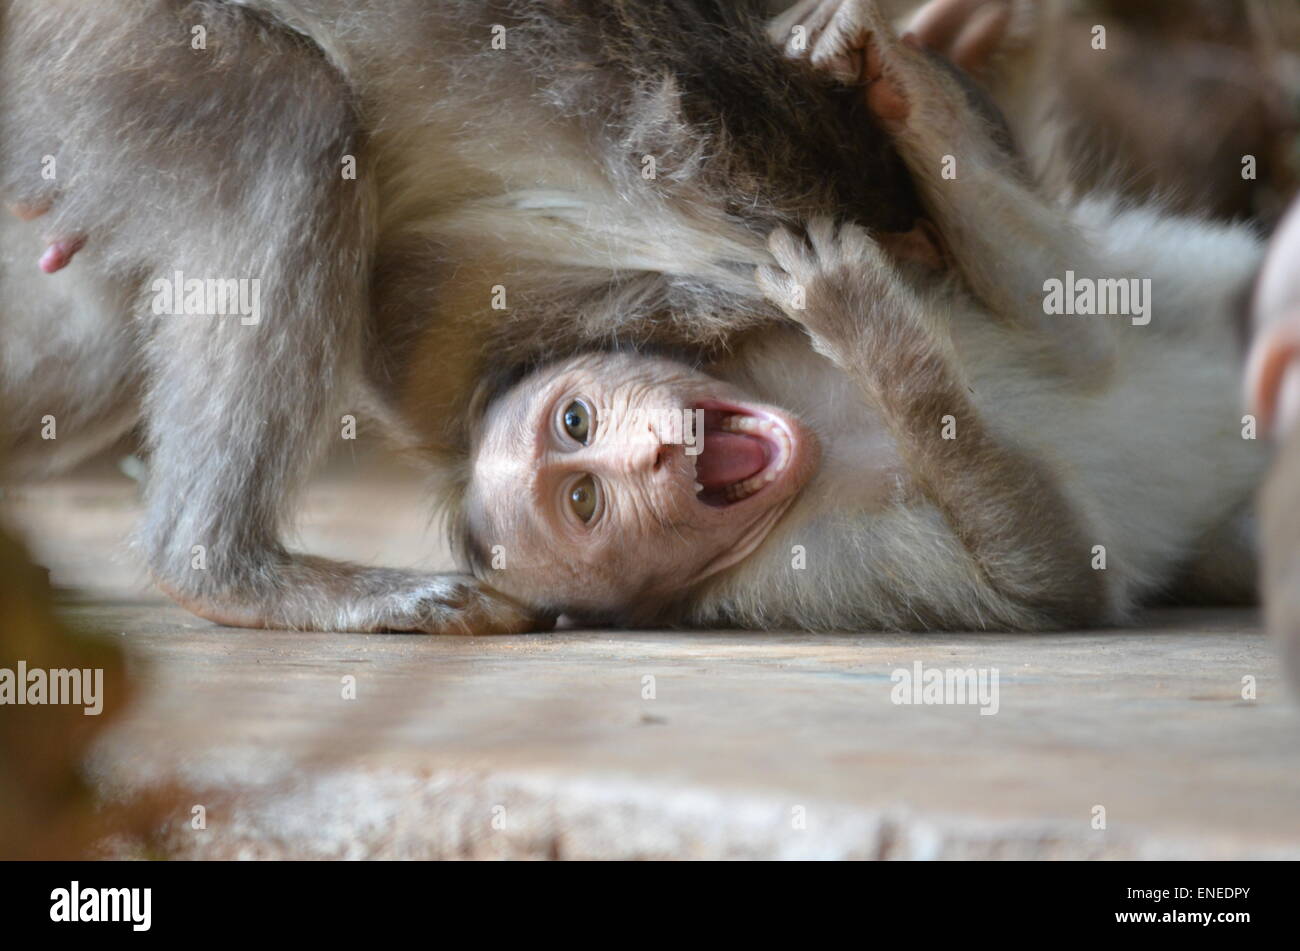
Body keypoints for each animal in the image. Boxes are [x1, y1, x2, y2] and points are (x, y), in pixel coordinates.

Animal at [2, 3, 956, 634]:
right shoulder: (706, 182)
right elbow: (404, 314)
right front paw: (737, 299)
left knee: (97, 341)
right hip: (100, 56)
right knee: (292, 116)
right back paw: (215, 569)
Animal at [465, 3, 1268, 634]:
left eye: (576, 421)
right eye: (585, 500)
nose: (653, 453)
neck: (821, 440)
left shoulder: (747, 319)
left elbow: (1074, 322)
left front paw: (896, 84)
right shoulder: (799, 582)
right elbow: (1061, 581)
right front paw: (874, 339)